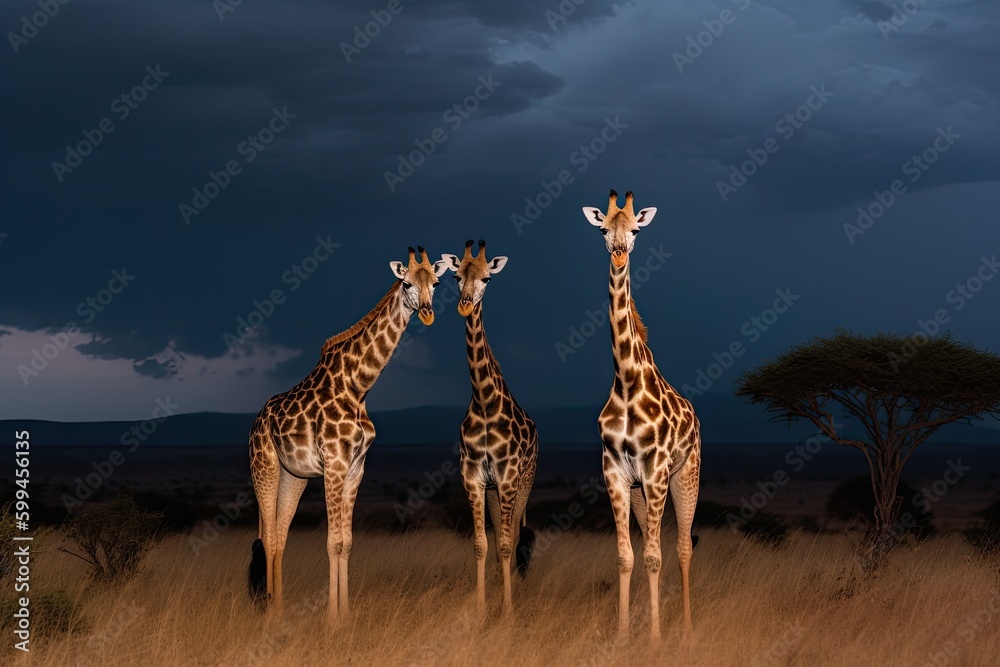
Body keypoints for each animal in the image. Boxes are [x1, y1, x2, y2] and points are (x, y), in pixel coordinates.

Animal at [248, 246, 448, 624]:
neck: (359, 387)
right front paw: (332, 619)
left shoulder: (356, 468)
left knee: (279, 534)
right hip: (263, 467)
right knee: (267, 535)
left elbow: (347, 541)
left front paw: (346, 614)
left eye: (436, 282)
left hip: (293, 475)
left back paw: (279, 607)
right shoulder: (335, 463)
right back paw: (269, 613)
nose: (428, 313)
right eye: (406, 283)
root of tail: (256, 421)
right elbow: (333, 541)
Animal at [440, 240, 538, 617]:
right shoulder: (473, 477)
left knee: (515, 537)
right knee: (499, 538)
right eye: (456, 276)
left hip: (523, 483)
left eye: (487, 279)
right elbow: (483, 544)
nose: (465, 305)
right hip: (496, 491)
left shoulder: (508, 476)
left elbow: (508, 544)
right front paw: (482, 606)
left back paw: (517, 595)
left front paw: (507, 609)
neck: (483, 401)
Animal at [581, 190, 701, 640]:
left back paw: (686, 625)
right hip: (640, 490)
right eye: (602, 229)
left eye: (635, 230)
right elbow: (626, 556)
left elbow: (654, 555)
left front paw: (654, 638)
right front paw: (622, 634)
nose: (618, 253)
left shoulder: (656, 469)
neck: (628, 380)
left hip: (685, 474)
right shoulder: (615, 472)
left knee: (682, 547)